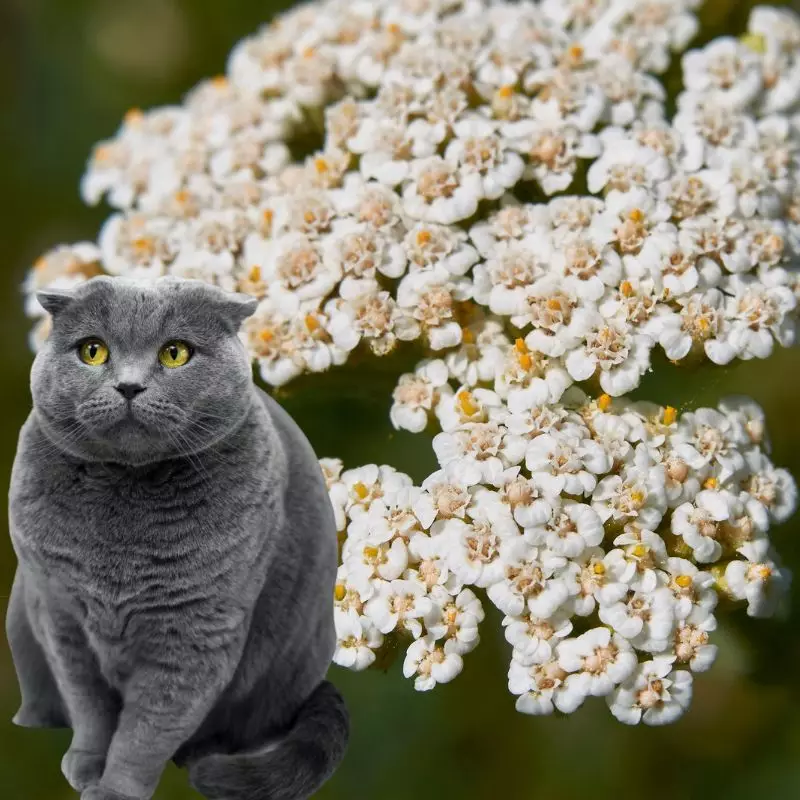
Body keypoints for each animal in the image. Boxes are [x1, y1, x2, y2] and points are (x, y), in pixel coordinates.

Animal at [5, 276, 350, 800]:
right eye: (92, 351)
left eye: (175, 353)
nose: (128, 385)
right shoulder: (61, 617)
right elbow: (89, 708)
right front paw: (86, 764)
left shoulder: (195, 632)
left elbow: (146, 730)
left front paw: (114, 789)